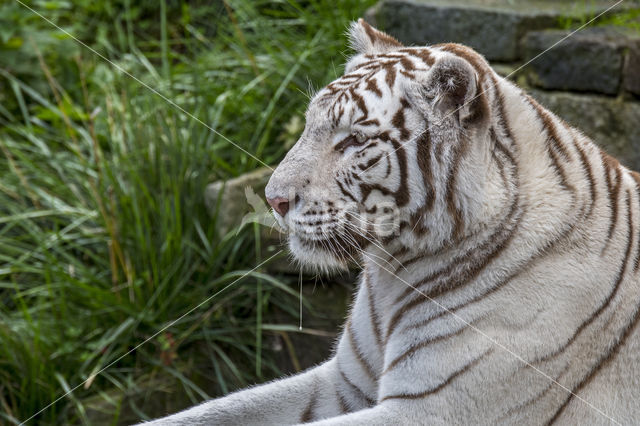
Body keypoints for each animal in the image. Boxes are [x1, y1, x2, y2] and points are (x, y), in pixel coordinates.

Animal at [145, 19, 640, 426]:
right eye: (308, 126)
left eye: (353, 142)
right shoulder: (343, 382)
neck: (394, 272)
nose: (273, 199)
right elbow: (213, 411)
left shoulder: (433, 409)